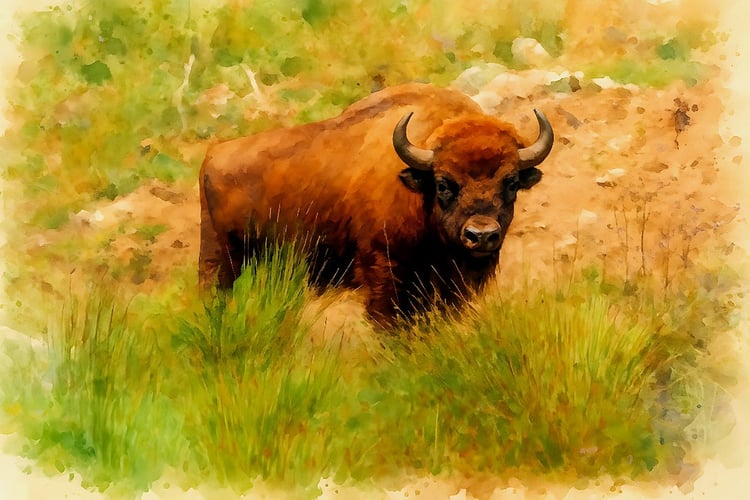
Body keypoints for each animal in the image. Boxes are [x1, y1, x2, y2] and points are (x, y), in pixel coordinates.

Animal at [199, 83, 553, 326]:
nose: (481, 235)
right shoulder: (385, 272)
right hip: (221, 261)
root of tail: (212, 156)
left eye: (511, 182)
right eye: (443, 183)